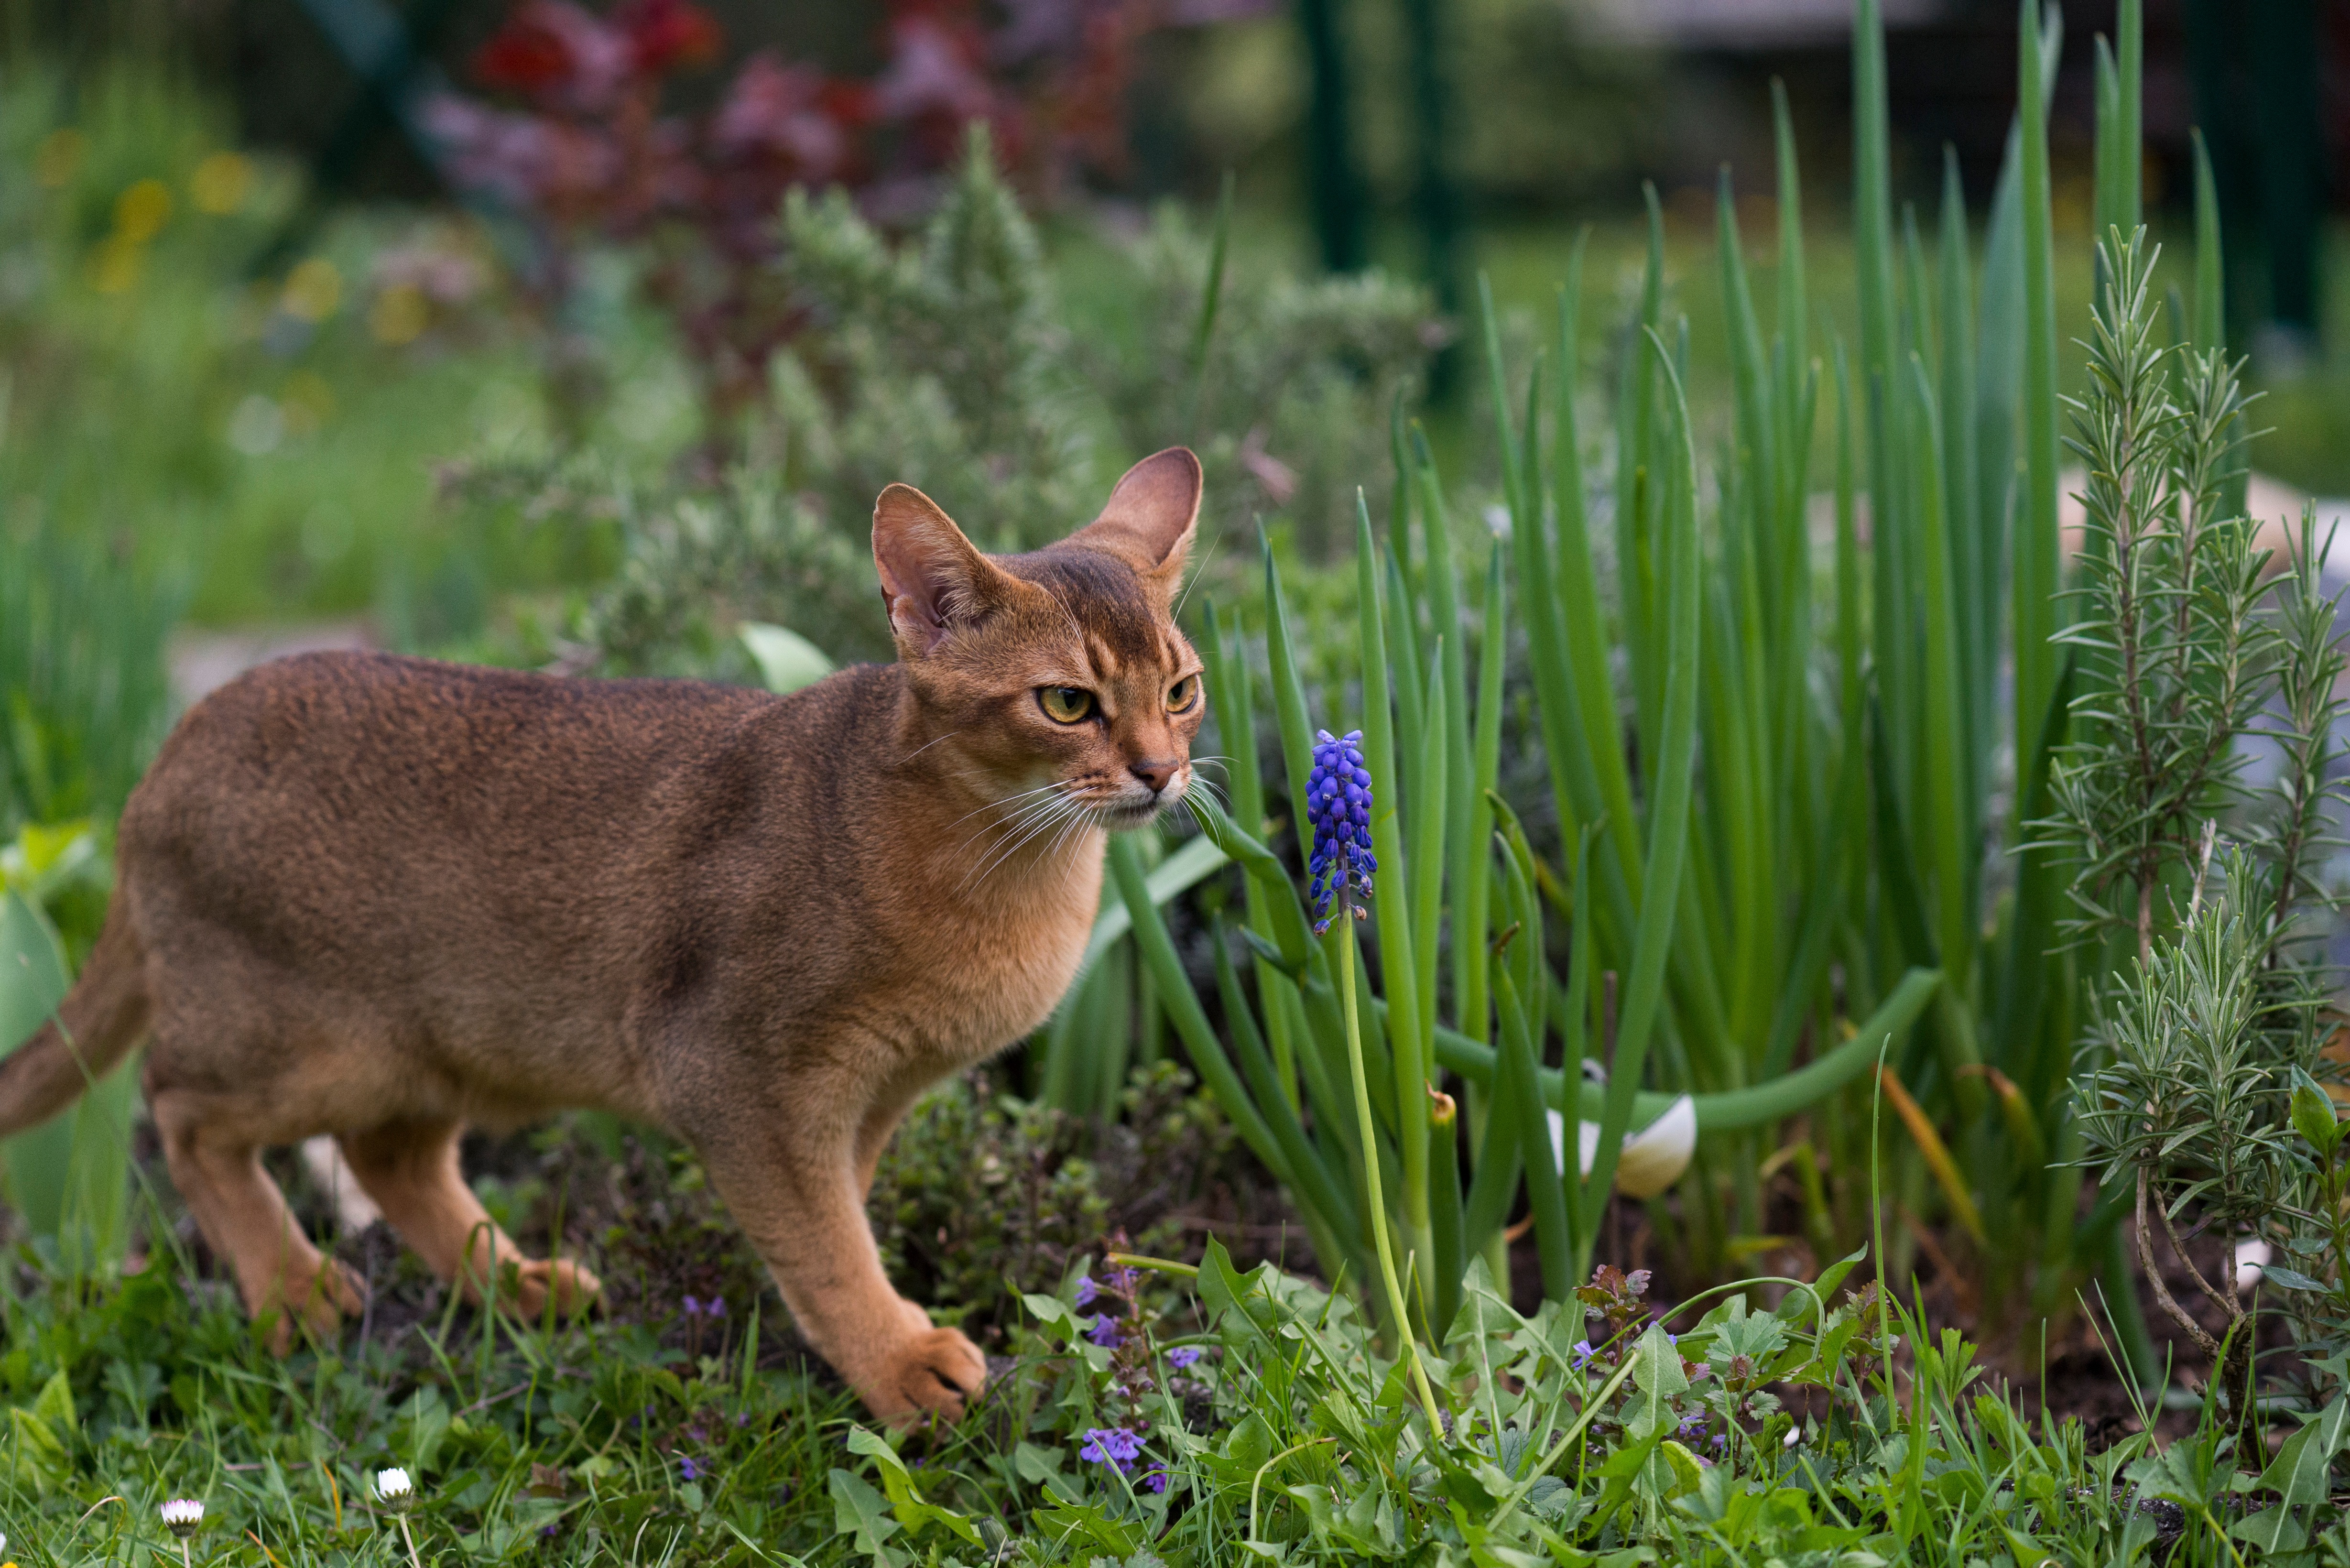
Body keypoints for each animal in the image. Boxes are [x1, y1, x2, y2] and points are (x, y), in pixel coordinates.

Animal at [0, 444, 1212, 1420]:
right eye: (1066, 703)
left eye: (1183, 689)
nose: (1162, 772)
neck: (1003, 864)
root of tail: (165, 756)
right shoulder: (737, 1076)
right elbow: (826, 1242)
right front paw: (900, 1363)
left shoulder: (862, 1100)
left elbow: (835, 1219)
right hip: (311, 1039)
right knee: (182, 1109)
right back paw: (296, 1290)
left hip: (449, 1039)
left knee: (386, 1154)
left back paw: (514, 1282)